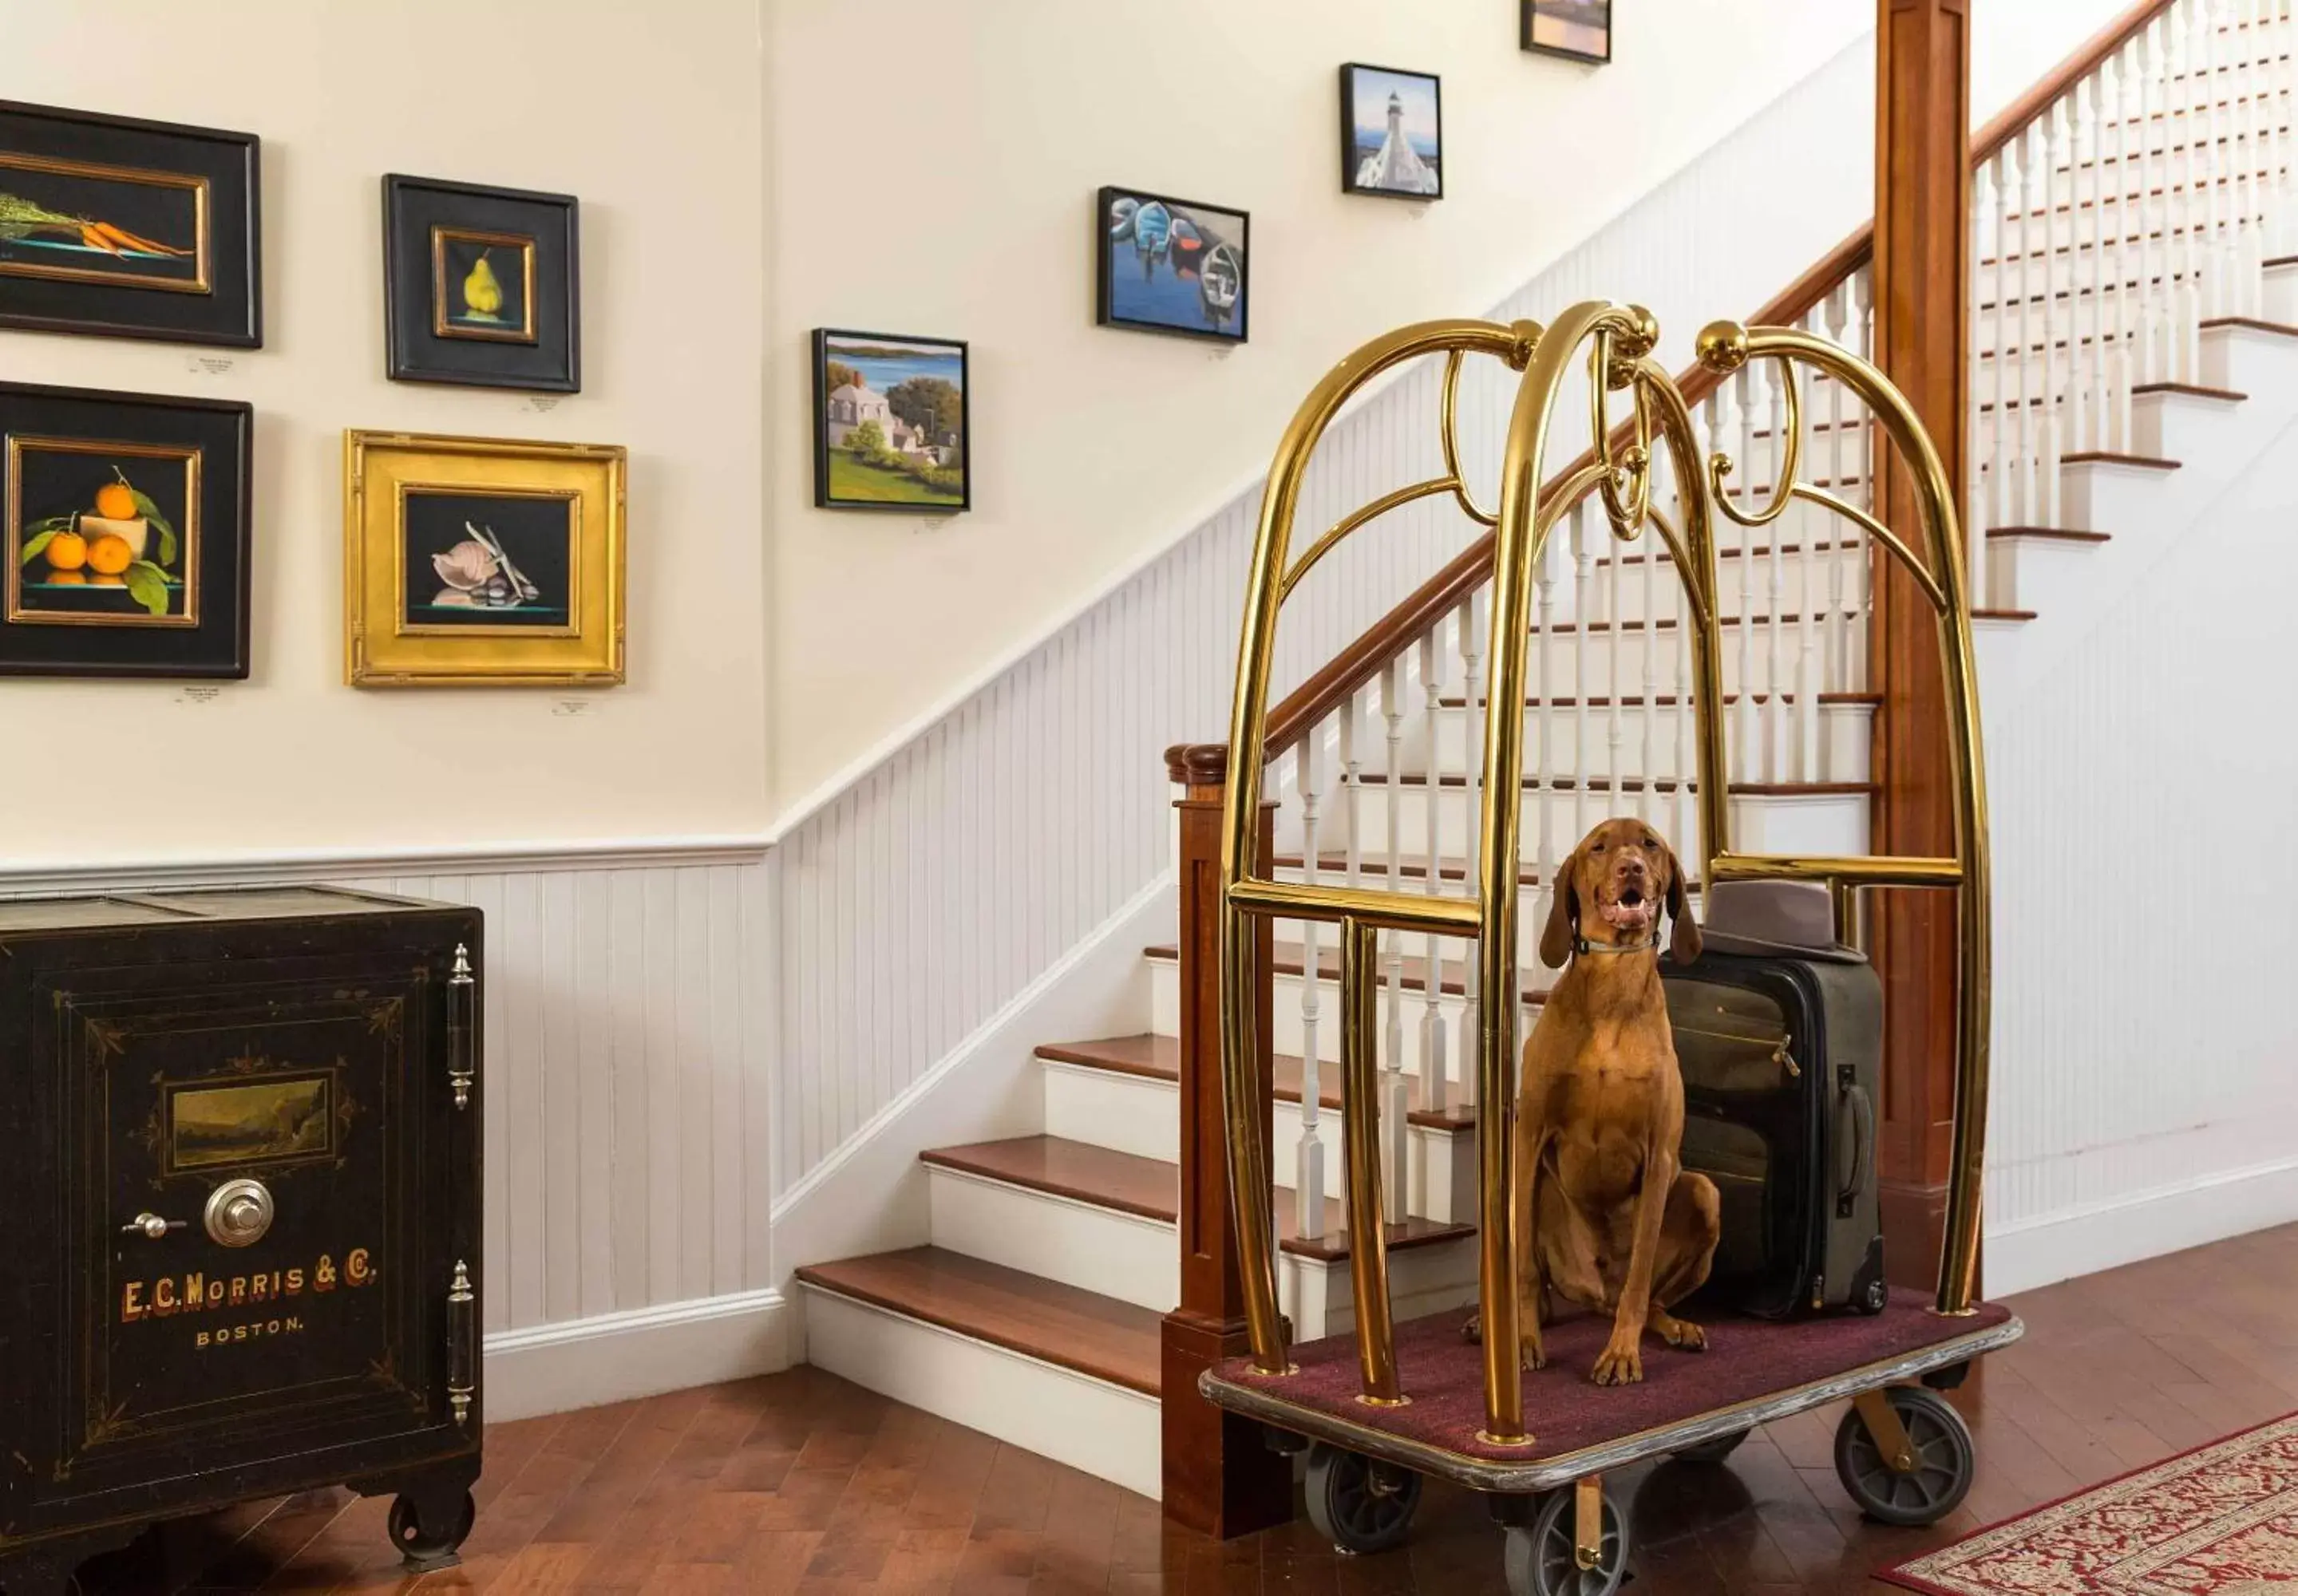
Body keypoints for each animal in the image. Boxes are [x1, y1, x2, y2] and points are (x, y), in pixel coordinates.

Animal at [1498, 822, 1719, 1387]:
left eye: (1650, 845)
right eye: (1599, 847)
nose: (1631, 869)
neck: (1612, 986)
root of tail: (1594, 1295)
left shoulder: (1659, 1157)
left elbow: (1639, 1280)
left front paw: (1621, 1354)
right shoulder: (1529, 1136)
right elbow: (1523, 1271)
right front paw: (1524, 1342)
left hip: (1704, 1193)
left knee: (1644, 1297)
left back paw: (1674, 1326)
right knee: (1535, 1279)